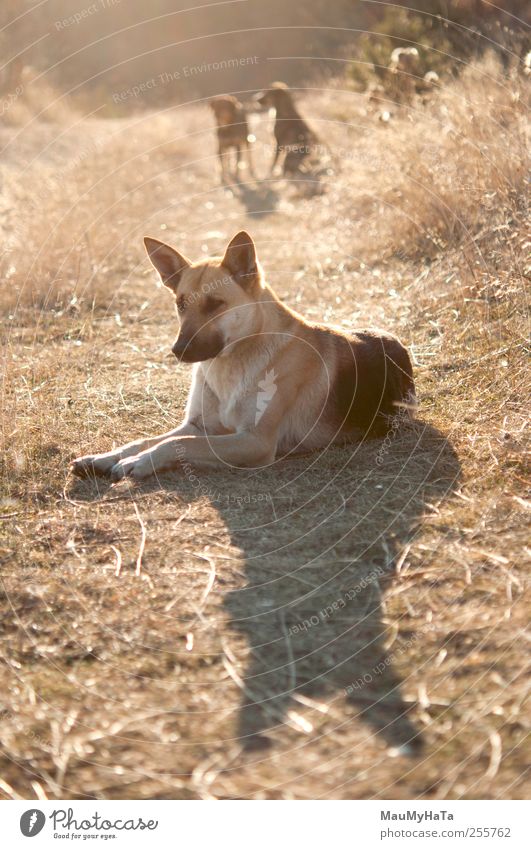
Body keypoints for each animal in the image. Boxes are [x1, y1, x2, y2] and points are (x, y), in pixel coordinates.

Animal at [71, 230, 416, 484]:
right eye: (181, 304)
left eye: (215, 304)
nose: (178, 350)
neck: (232, 361)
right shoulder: (198, 425)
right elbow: (147, 439)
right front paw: (104, 456)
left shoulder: (254, 441)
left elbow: (177, 443)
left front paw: (139, 461)